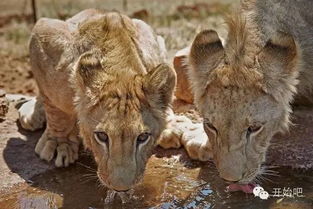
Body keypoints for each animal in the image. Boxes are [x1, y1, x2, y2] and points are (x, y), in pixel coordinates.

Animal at [18, 10, 176, 193]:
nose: (121, 189)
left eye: (143, 137)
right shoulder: (44, 34)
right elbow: (56, 107)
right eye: (102, 136)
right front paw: (59, 144)